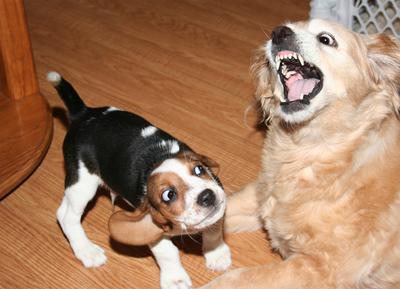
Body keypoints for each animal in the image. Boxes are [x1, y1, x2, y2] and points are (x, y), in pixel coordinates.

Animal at [47, 71, 231, 288]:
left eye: (199, 169)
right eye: (169, 195)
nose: (207, 196)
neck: (159, 159)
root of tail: (84, 114)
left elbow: (213, 230)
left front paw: (216, 254)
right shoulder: (152, 229)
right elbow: (168, 252)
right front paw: (175, 279)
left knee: (63, 212)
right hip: (83, 183)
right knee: (67, 217)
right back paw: (87, 251)